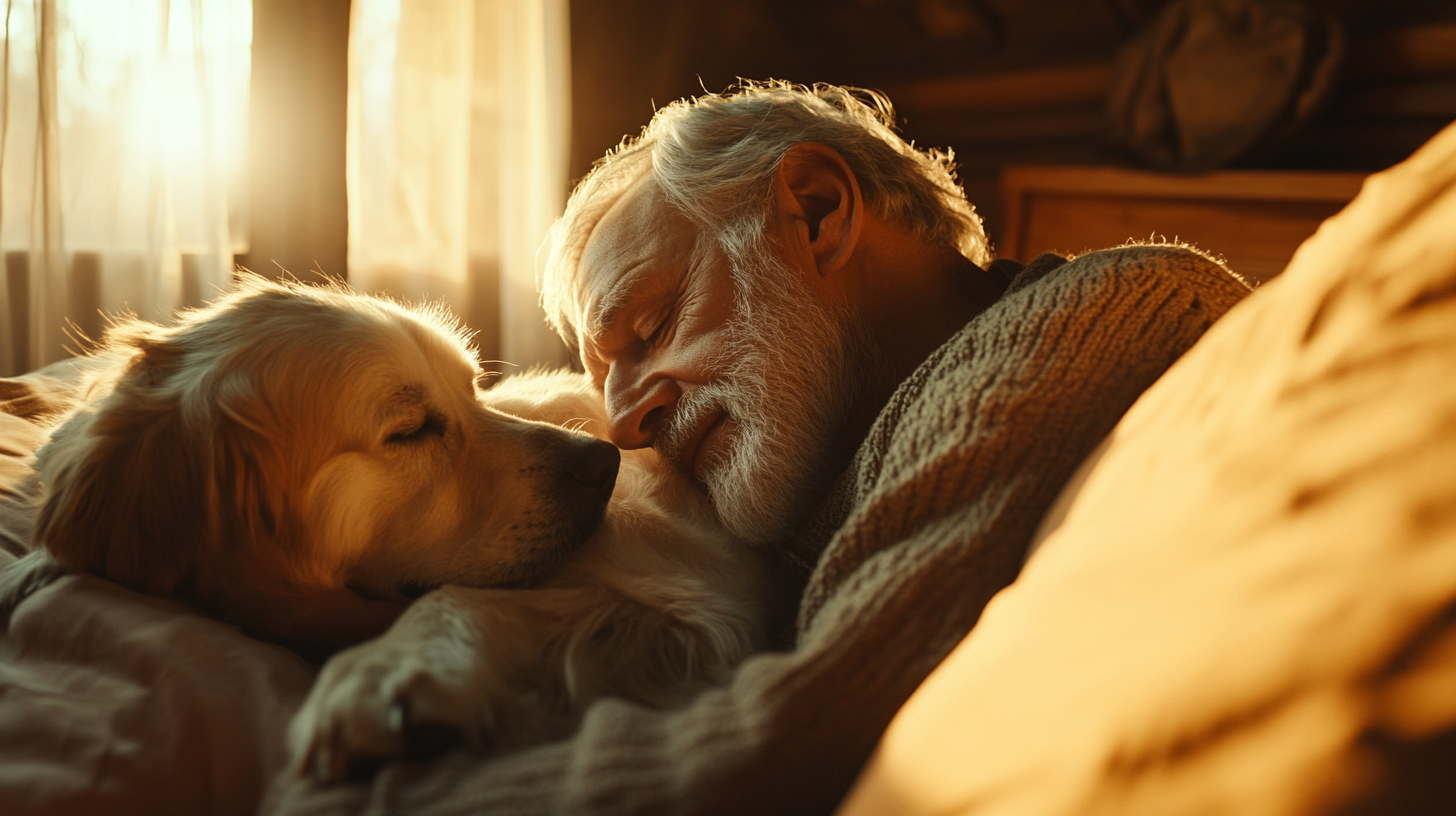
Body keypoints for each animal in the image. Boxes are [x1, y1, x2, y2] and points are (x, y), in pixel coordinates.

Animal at [0, 276, 774, 775]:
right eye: (410, 429)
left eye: (474, 389)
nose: (605, 462)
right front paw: (29, 568)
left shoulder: (698, 595)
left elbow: (459, 596)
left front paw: (386, 674)